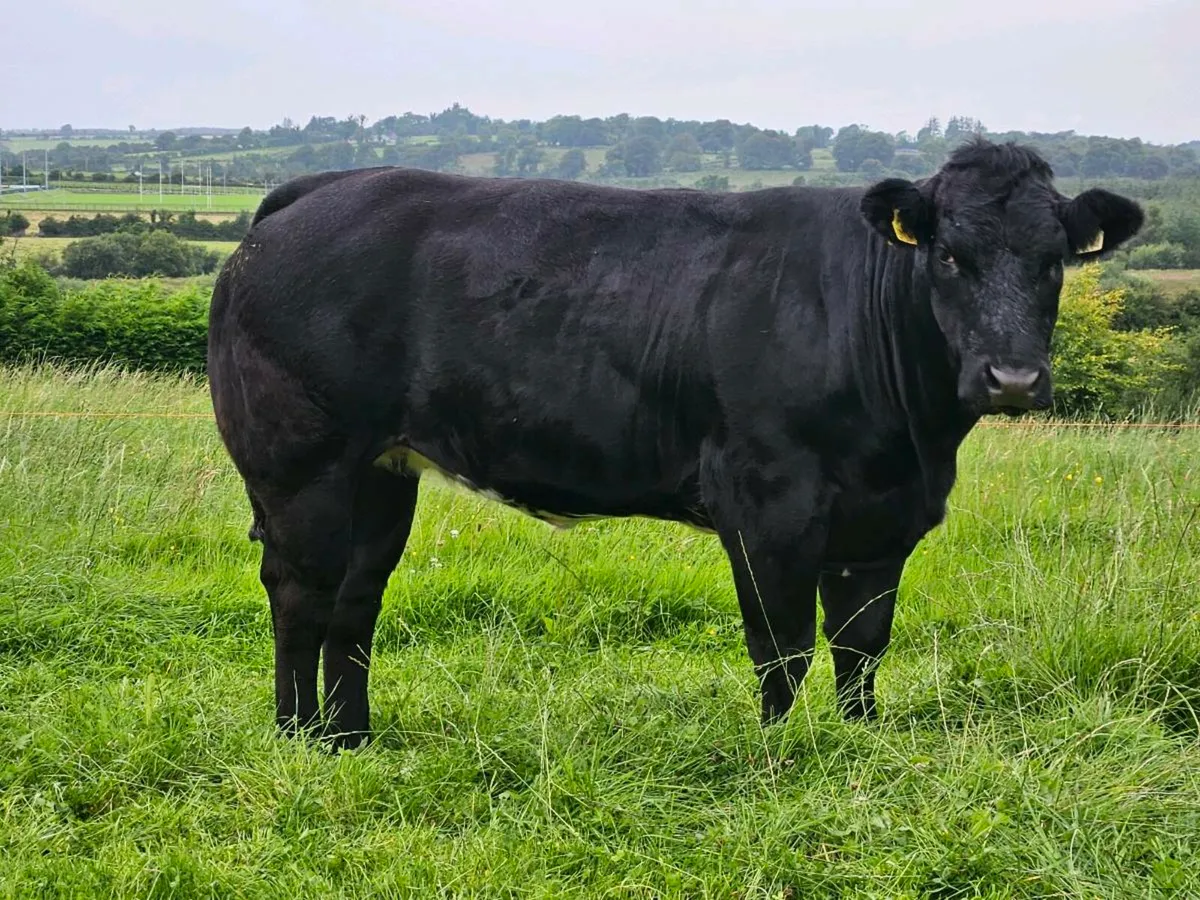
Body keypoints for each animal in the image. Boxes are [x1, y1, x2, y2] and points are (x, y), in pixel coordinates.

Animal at [207, 138, 1143, 749]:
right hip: (301, 464)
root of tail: (313, 190)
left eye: (1056, 259)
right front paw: (780, 756)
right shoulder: (768, 503)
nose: (1013, 379)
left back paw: (351, 739)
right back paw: (296, 737)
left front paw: (861, 745)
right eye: (948, 255)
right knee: (300, 593)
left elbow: (861, 645)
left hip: (379, 473)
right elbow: (783, 646)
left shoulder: (885, 521)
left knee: (354, 599)